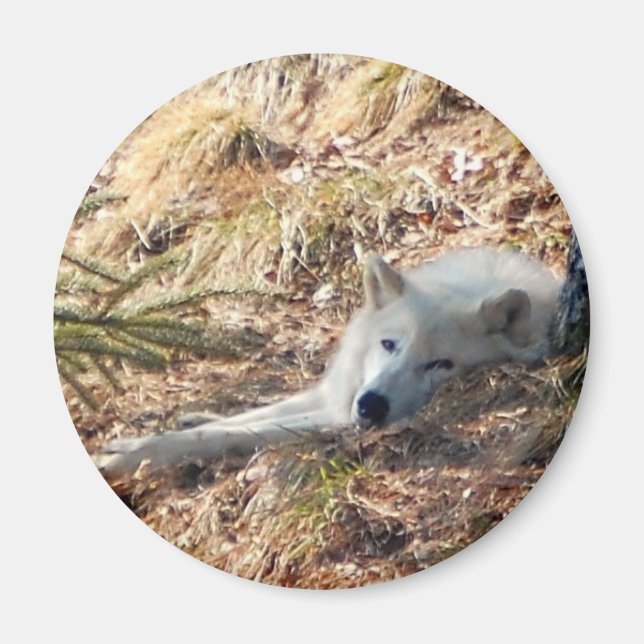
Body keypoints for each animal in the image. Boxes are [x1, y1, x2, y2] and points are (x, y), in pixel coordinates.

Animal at [99, 247, 562, 479]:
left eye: (440, 364)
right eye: (389, 345)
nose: (371, 406)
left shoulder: (339, 418)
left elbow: (234, 434)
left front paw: (131, 453)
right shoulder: (342, 394)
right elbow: (249, 416)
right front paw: (177, 425)